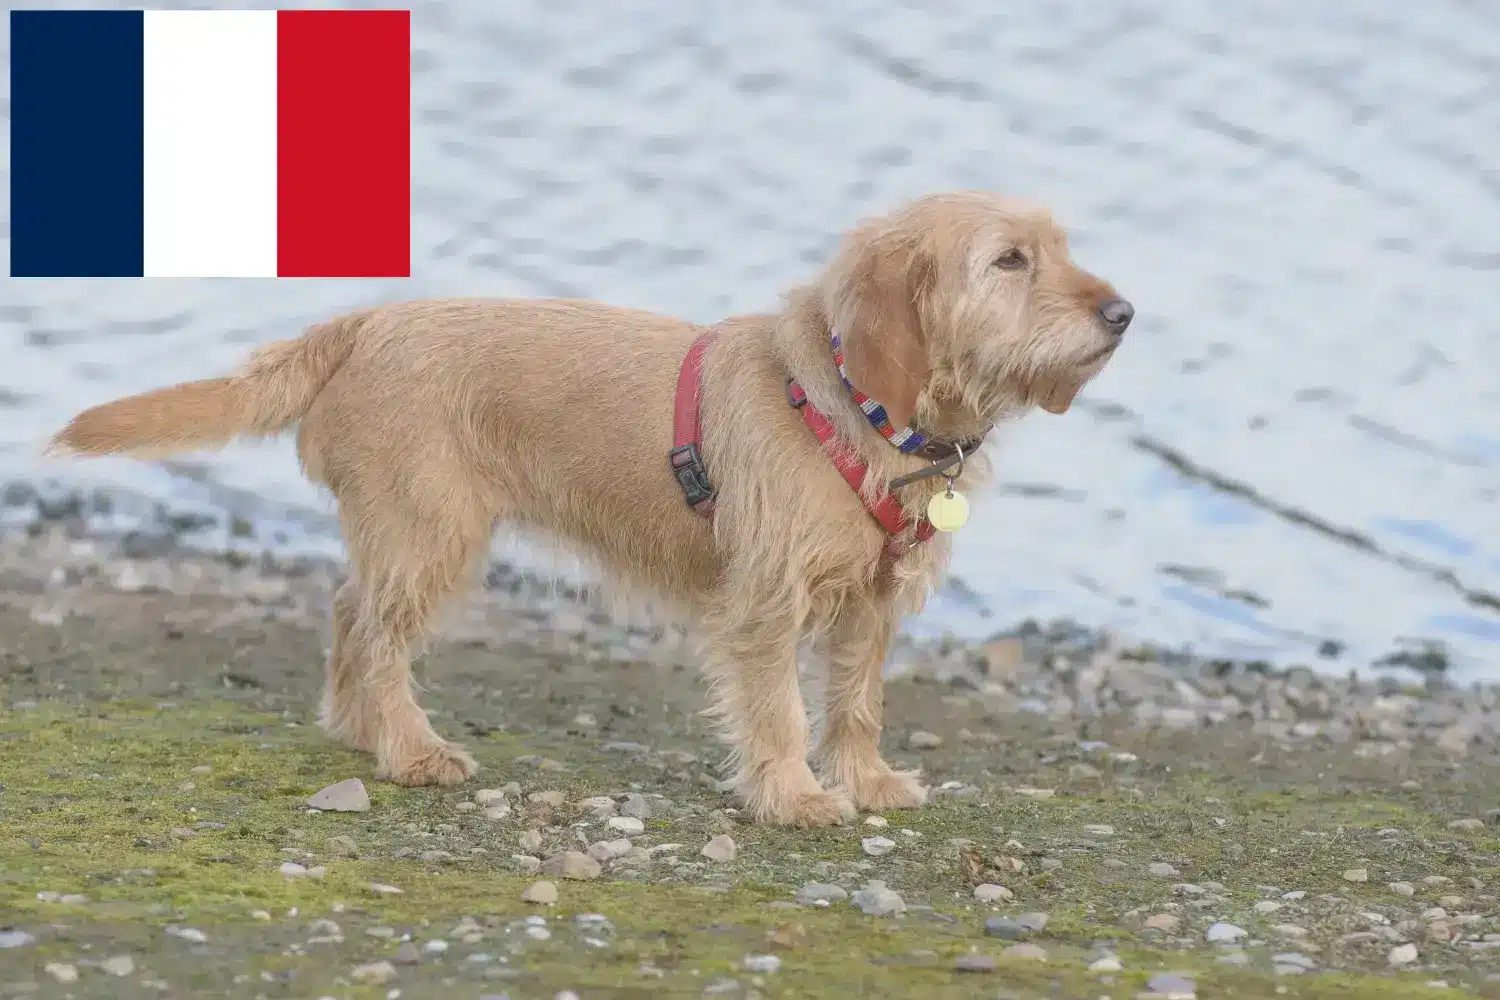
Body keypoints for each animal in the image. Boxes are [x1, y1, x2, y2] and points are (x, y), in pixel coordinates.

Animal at [46, 191, 1128, 827]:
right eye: (1010, 261)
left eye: (1061, 248)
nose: (1122, 313)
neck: (857, 409)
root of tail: (365, 322)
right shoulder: (766, 604)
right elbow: (780, 708)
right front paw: (793, 794)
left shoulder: (869, 605)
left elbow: (856, 704)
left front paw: (863, 780)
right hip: (433, 535)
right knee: (375, 635)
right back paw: (409, 747)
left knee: (349, 613)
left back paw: (362, 731)